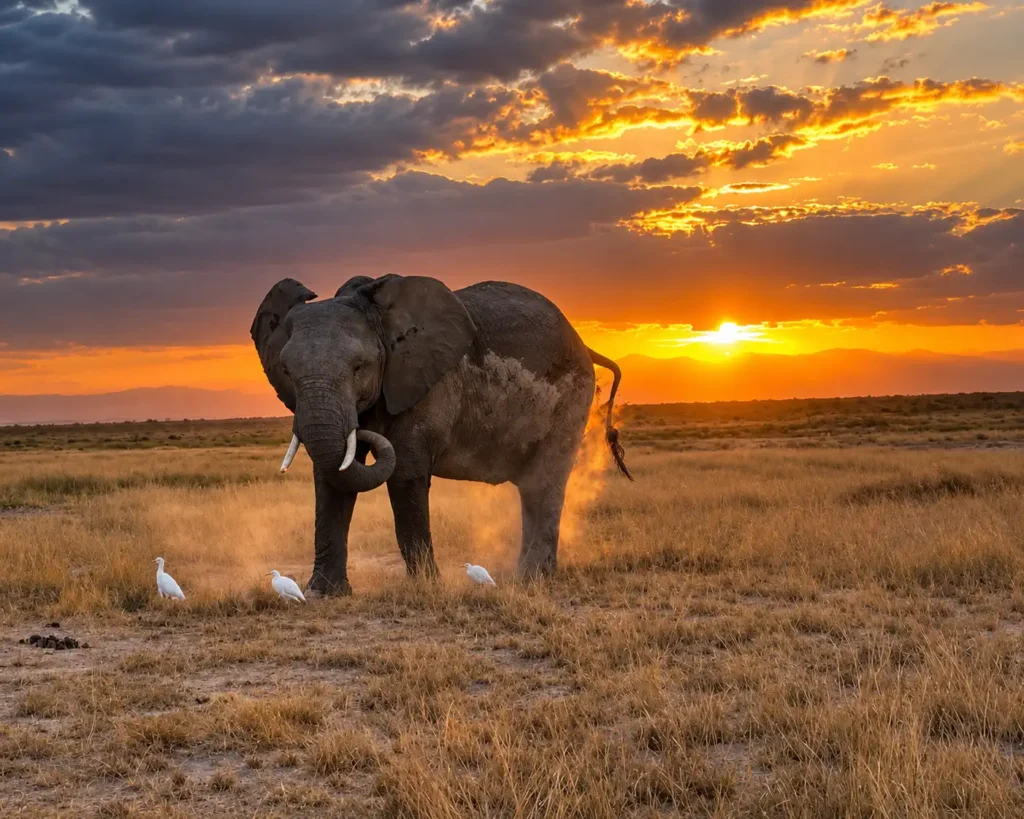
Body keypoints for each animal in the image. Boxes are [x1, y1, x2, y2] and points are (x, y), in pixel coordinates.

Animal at [250, 274, 631, 596]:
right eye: (287, 371)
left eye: (359, 367)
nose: (369, 433)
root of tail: (584, 344)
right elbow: (334, 479)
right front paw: (324, 594)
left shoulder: (426, 384)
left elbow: (405, 472)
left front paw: (426, 588)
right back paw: (523, 576)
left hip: (571, 397)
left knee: (545, 482)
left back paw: (531, 579)